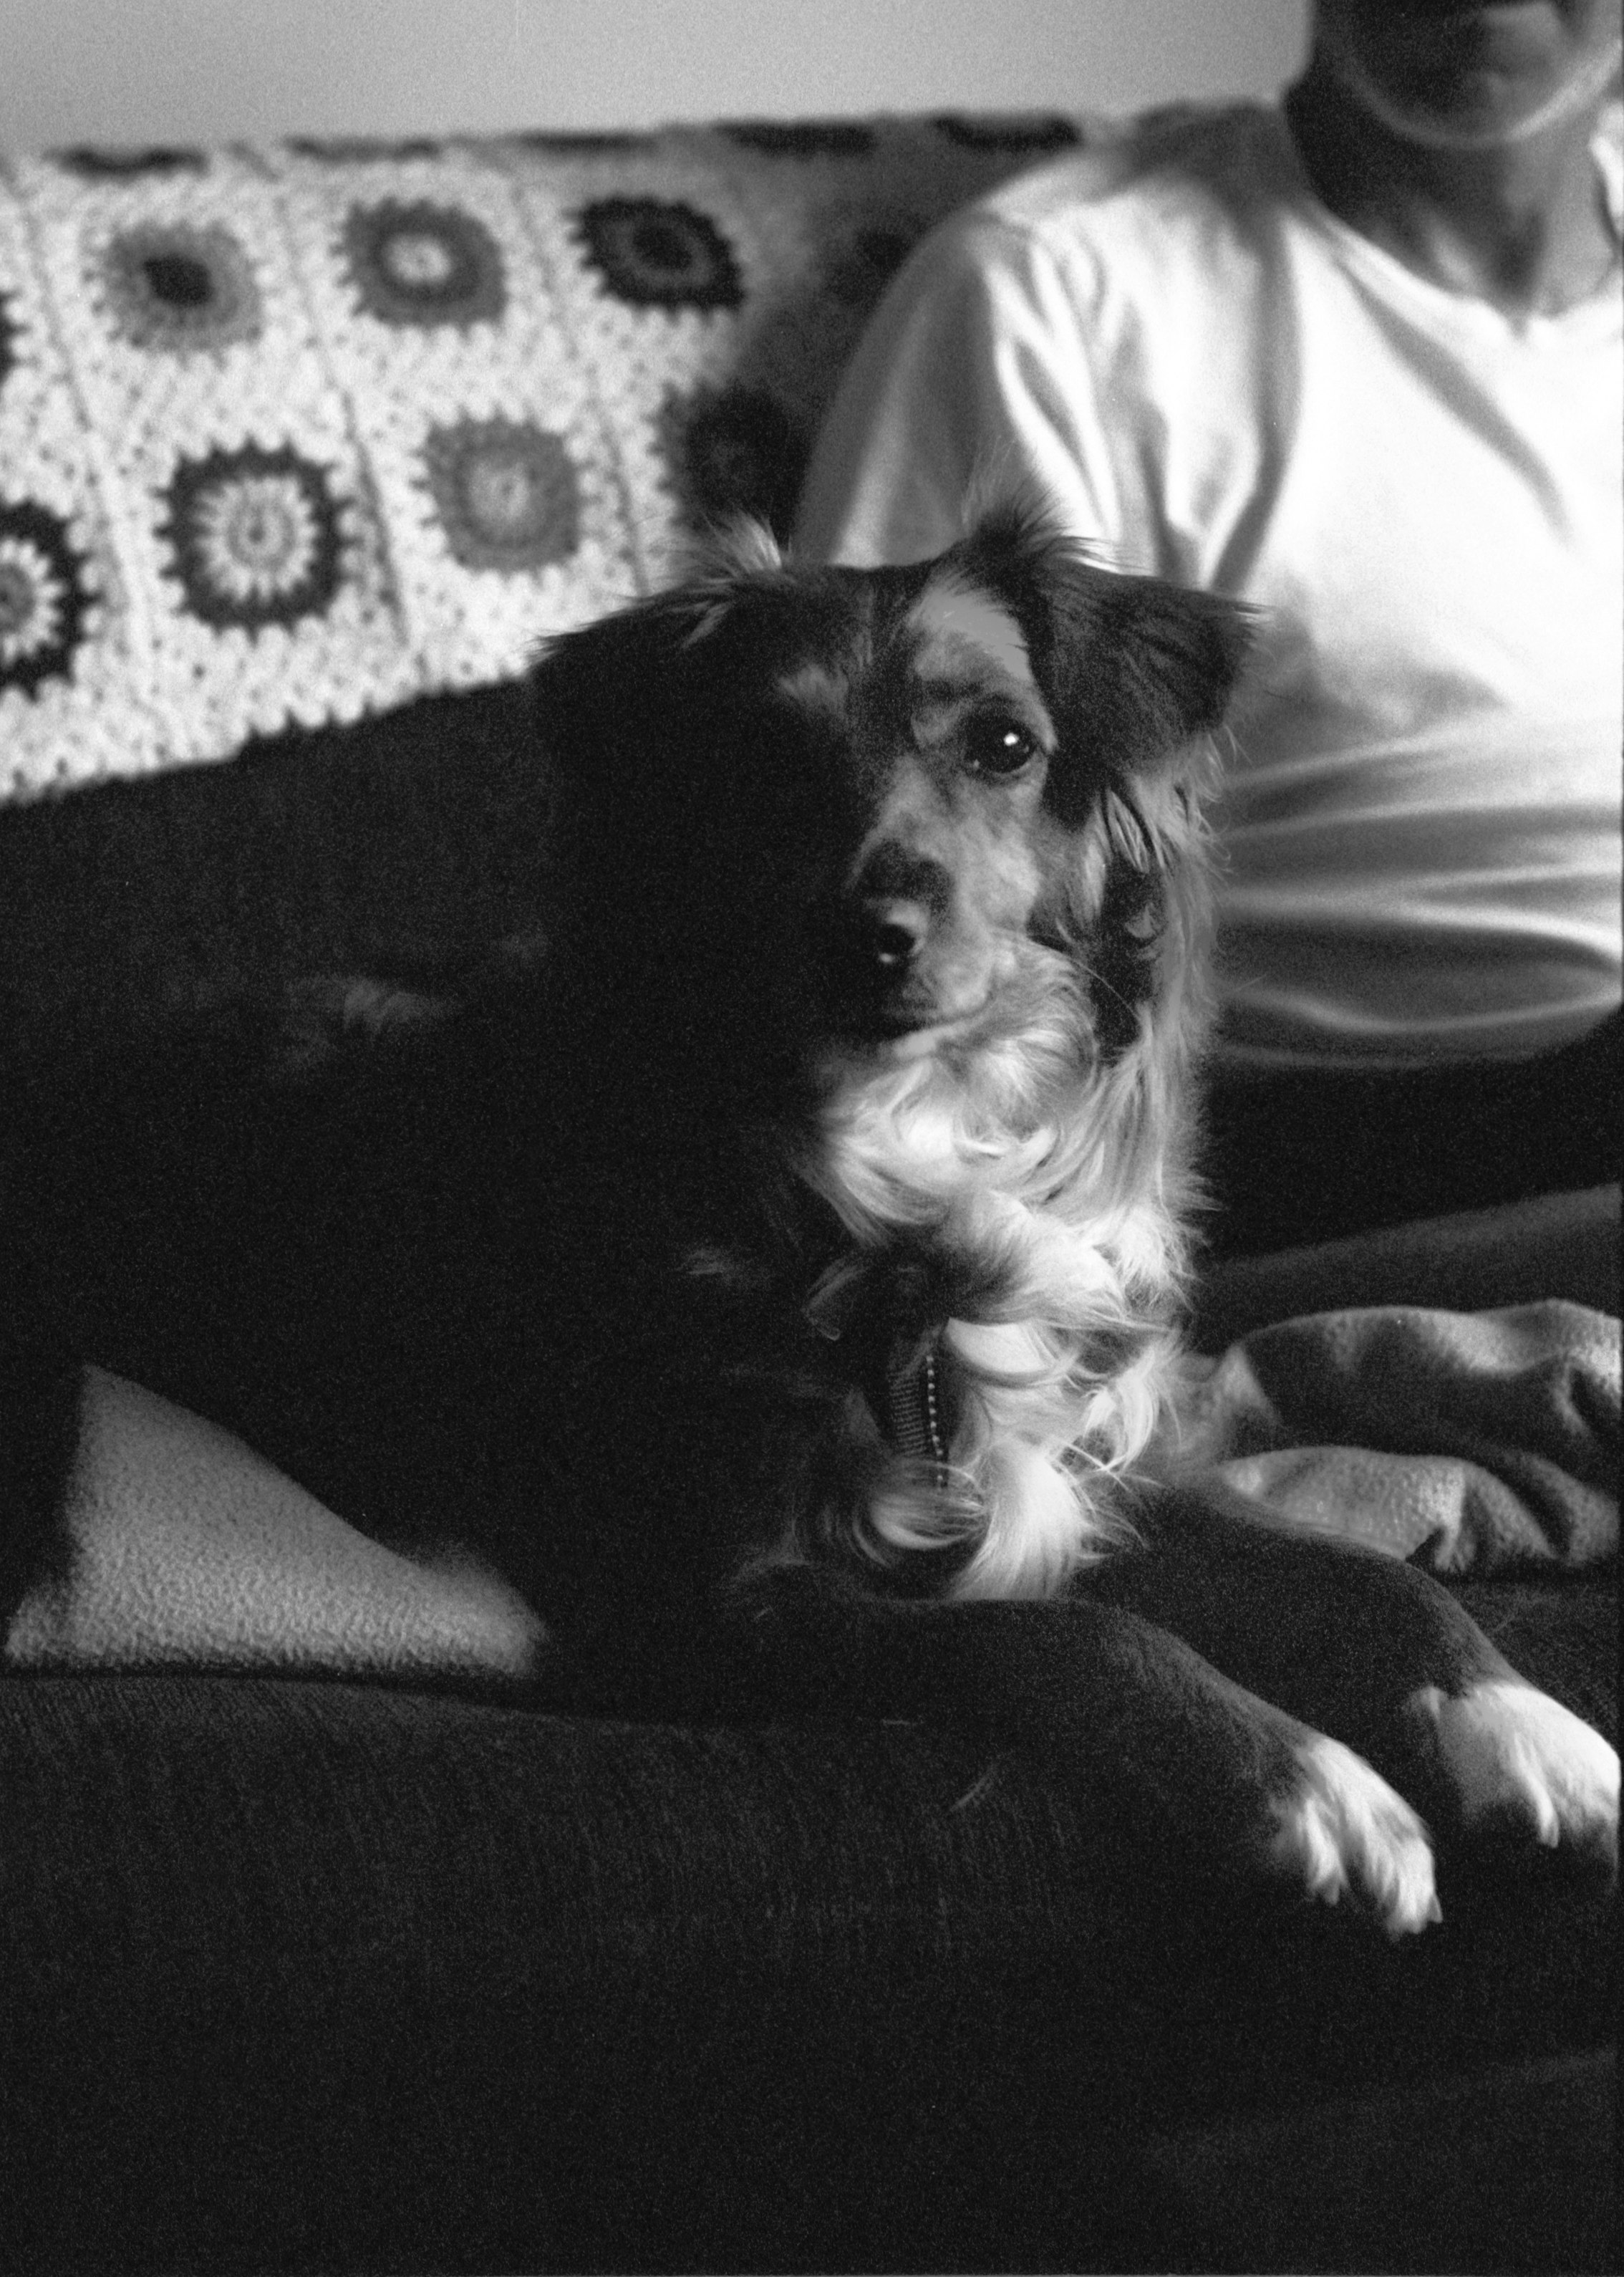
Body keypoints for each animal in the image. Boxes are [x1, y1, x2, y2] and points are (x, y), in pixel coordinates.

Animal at [6, 507, 1613, 1930]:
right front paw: (1298, 1780)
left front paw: (1512, 1720)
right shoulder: (704, 1598)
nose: (872, 932)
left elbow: (1349, 1568)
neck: (912, 1166)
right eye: (760, 761)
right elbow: (1055, 1623)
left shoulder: (1093, 1465)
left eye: (1004, 744)